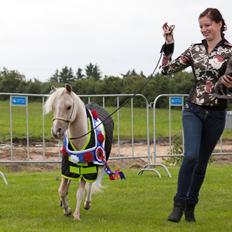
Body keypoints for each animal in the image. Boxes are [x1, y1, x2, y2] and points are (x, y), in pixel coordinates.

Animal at [43, 84, 116, 220]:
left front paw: (76, 215)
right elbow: (62, 190)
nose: (56, 131)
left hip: (99, 162)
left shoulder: (87, 167)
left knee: (91, 184)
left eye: (68, 107)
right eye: (53, 107)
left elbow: (80, 192)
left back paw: (87, 204)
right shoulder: (67, 166)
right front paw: (66, 209)